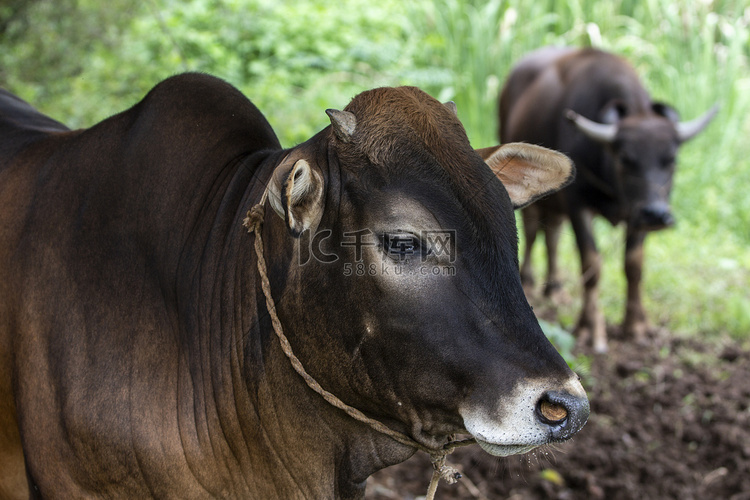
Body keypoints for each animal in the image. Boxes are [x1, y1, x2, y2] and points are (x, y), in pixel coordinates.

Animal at [502, 47, 720, 352]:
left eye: (671, 159)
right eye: (625, 158)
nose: (657, 214)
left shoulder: (636, 214)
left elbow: (634, 266)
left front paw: (636, 325)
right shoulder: (578, 205)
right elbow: (591, 264)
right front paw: (589, 328)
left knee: (552, 233)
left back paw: (555, 289)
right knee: (534, 230)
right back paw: (529, 282)